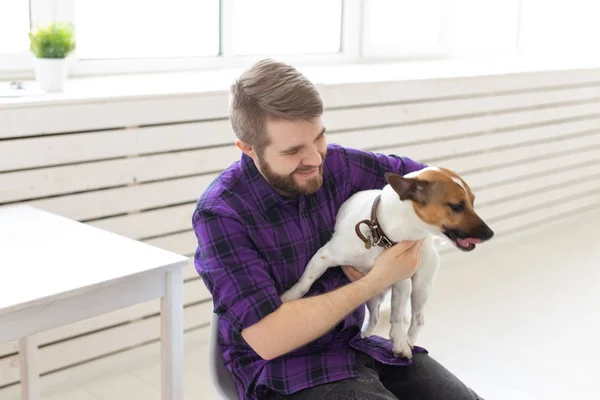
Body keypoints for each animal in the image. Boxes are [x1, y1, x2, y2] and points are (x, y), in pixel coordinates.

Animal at [280, 167, 492, 358]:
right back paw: (364, 336)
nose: (490, 233)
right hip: (372, 294)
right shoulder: (325, 255)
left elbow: (397, 318)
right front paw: (289, 297)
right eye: (457, 206)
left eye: (472, 202)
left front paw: (399, 343)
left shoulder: (401, 283)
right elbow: (305, 282)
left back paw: (409, 341)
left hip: (420, 288)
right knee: (373, 318)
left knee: (417, 319)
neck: (382, 234)